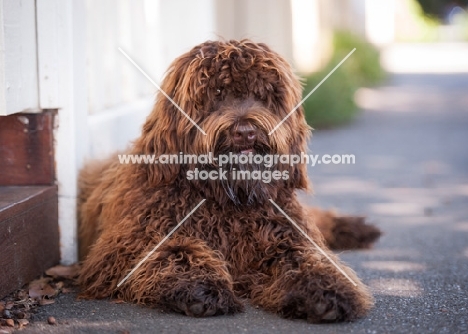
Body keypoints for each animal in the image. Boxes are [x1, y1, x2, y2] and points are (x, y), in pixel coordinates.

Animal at [78, 39, 380, 324]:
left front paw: (326, 290)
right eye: (217, 93)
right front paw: (201, 286)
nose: (245, 132)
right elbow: (175, 249)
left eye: (262, 94)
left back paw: (355, 228)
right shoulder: (127, 246)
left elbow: (308, 257)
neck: (228, 200)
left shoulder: (285, 233)